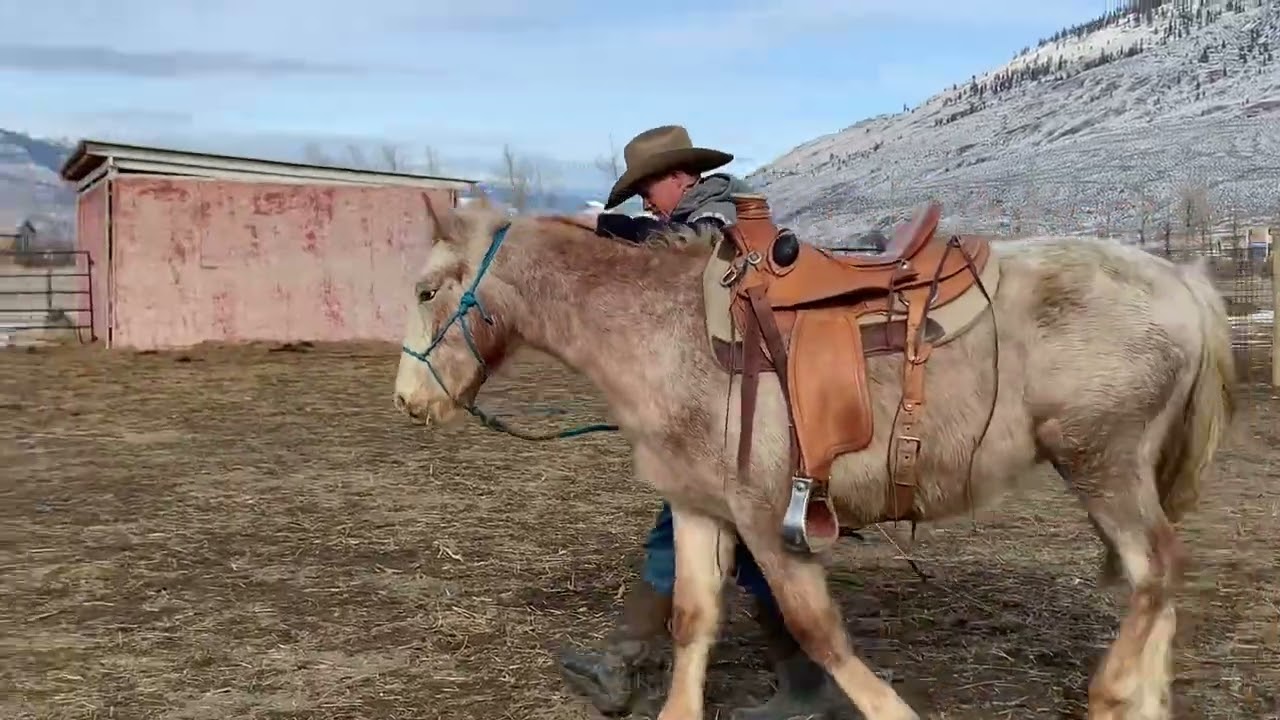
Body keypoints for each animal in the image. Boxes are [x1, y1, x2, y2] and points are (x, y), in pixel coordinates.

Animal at [392, 197, 1235, 720]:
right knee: (1157, 579)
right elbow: (692, 618)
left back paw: (1114, 695)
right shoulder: (698, 507)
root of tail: (1182, 279)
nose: (408, 400)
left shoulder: (769, 516)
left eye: (427, 289)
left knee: (1156, 569)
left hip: (1103, 463)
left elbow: (815, 628)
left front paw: (889, 709)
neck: (662, 328)